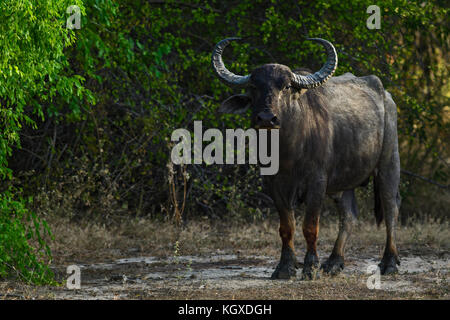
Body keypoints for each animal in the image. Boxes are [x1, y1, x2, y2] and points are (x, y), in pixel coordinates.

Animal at [211, 37, 400, 278]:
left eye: (286, 86)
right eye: (254, 87)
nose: (266, 118)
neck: (288, 151)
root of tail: (386, 96)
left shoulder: (317, 182)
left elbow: (310, 226)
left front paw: (310, 267)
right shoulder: (273, 184)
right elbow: (286, 227)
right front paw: (285, 267)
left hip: (389, 164)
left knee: (391, 209)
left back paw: (389, 262)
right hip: (343, 182)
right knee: (349, 215)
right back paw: (334, 262)